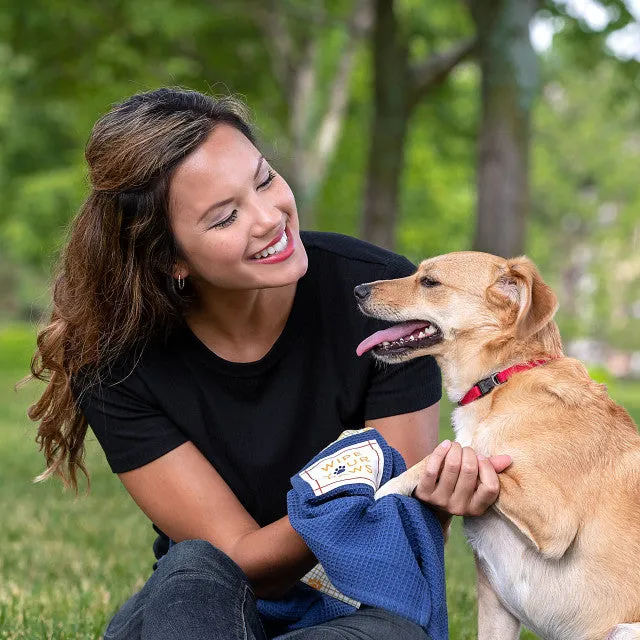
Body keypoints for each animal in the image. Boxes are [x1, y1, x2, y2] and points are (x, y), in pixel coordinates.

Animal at [356, 252, 640, 640]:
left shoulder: (554, 520)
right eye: (417, 272)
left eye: (429, 282)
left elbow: (467, 452)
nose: (357, 290)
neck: (502, 380)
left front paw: (387, 487)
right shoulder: (495, 604)